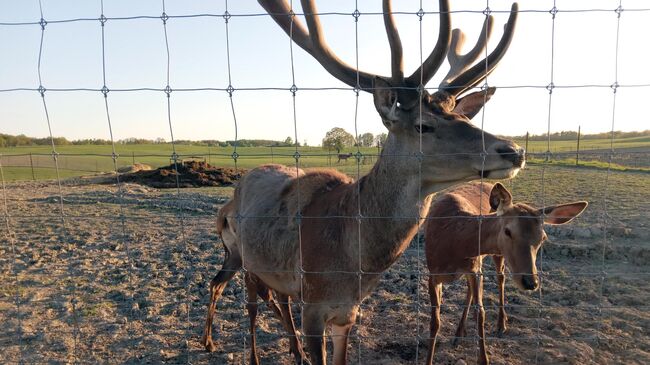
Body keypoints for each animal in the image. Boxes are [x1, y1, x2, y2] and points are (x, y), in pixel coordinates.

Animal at [200, 1, 524, 362]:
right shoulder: (313, 305)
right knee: (249, 303)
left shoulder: (348, 312)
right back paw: (226, 346)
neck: (354, 265)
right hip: (244, 258)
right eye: (423, 126)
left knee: (274, 298)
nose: (514, 150)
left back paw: (290, 351)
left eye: (464, 117)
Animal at [422, 182, 584, 364]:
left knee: (500, 279)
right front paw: (428, 359)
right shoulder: (433, 273)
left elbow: (481, 313)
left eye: (543, 237)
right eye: (508, 231)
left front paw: (484, 359)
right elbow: (435, 321)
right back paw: (459, 333)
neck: (454, 242)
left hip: (494, 256)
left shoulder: (474, 268)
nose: (531, 282)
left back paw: (500, 324)